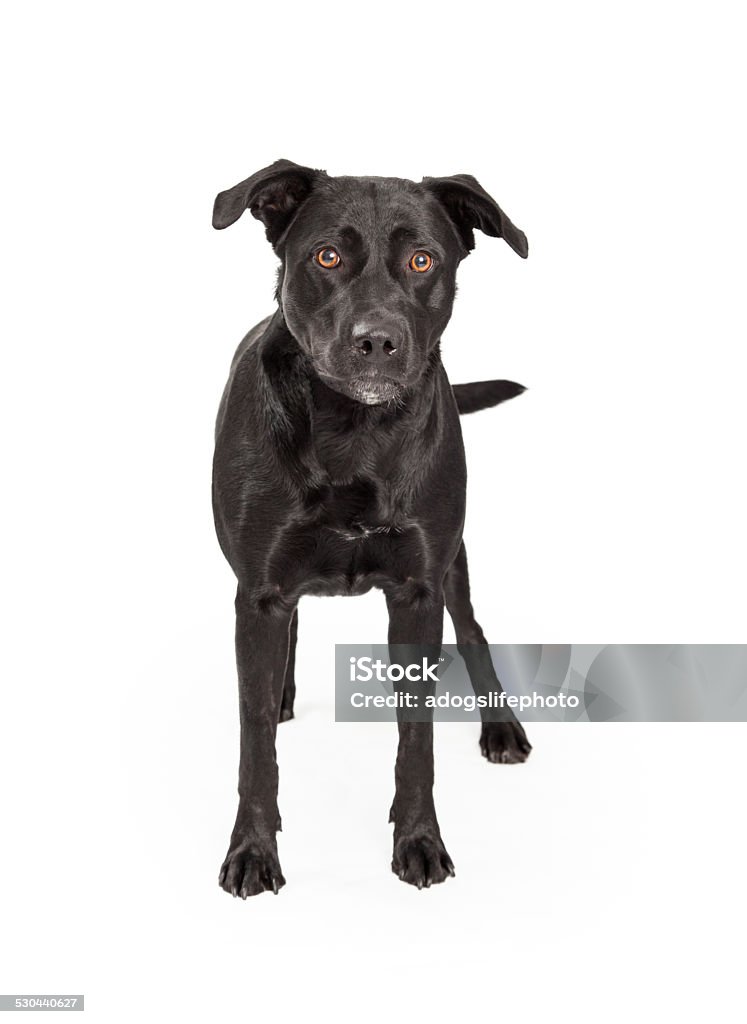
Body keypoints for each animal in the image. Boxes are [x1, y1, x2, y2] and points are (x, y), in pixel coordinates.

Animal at [211, 159, 528, 897]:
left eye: (422, 260)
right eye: (326, 256)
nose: (377, 341)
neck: (351, 434)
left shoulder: (418, 589)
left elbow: (417, 736)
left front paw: (418, 841)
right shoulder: (258, 593)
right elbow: (254, 737)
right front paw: (253, 850)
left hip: (453, 566)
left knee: (473, 631)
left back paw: (499, 726)